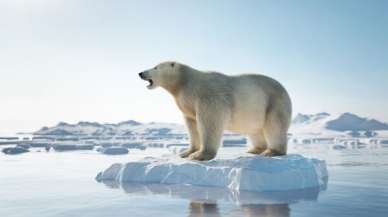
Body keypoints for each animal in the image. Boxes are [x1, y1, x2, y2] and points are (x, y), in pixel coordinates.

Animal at [139, 62, 292, 160]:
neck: (185, 82)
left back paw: (272, 151)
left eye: (155, 67)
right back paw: (255, 150)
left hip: (274, 103)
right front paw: (186, 152)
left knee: (274, 126)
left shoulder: (208, 96)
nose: (140, 73)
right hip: (256, 112)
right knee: (255, 130)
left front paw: (200, 155)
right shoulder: (188, 104)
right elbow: (192, 125)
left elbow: (210, 121)